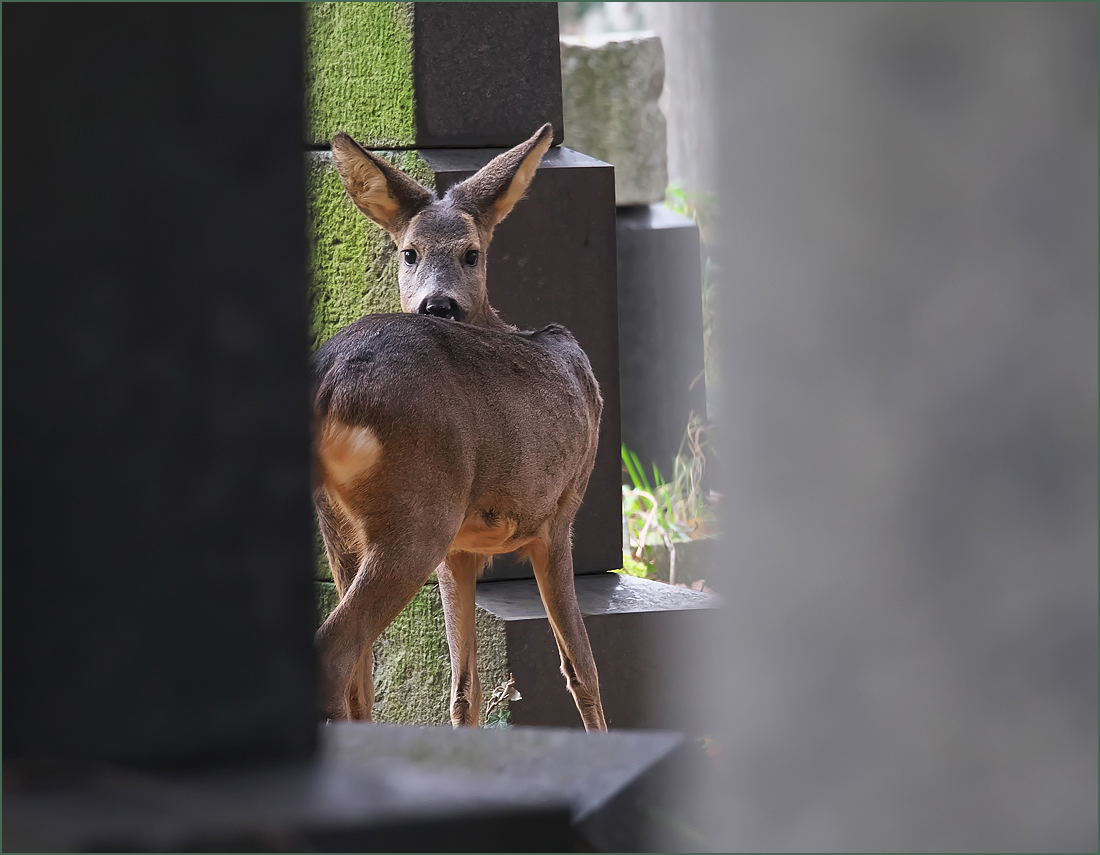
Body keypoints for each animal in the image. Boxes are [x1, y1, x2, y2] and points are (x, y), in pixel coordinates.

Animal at [312, 123, 611, 730]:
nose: (438, 304)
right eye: (408, 252)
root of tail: (329, 384)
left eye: (472, 253)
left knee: (360, 679)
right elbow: (581, 669)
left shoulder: (462, 548)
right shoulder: (559, 512)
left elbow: (464, 689)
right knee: (335, 653)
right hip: (416, 514)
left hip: (348, 531)